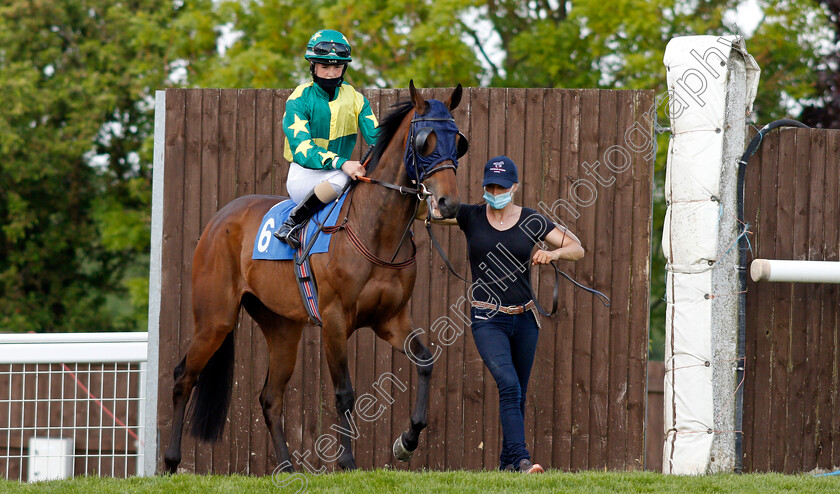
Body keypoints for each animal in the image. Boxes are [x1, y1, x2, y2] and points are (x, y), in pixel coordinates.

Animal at [164, 82, 466, 474]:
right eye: (424, 141)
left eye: (458, 140)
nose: (448, 203)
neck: (374, 228)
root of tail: (218, 220)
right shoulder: (336, 320)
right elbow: (345, 392)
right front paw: (348, 461)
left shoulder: (390, 320)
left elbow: (425, 361)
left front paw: (407, 441)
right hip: (215, 319)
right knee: (184, 377)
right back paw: (171, 461)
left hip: (281, 328)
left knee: (270, 398)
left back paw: (286, 467)